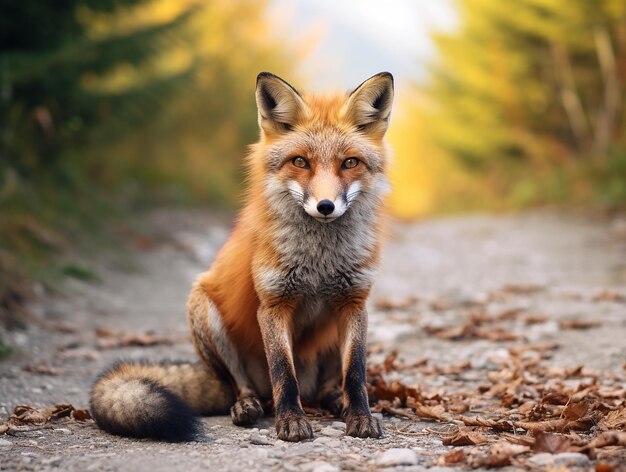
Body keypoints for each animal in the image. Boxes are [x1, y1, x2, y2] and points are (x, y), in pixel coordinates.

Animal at [90, 71, 392, 442]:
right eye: (300, 162)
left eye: (350, 163)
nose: (325, 206)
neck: (319, 262)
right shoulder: (274, 304)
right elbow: (283, 373)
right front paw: (290, 420)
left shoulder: (353, 301)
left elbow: (356, 373)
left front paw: (360, 416)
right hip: (204, 311)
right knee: (243, 385)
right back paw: (248, 406)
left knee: (327, 387)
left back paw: (336, 401)